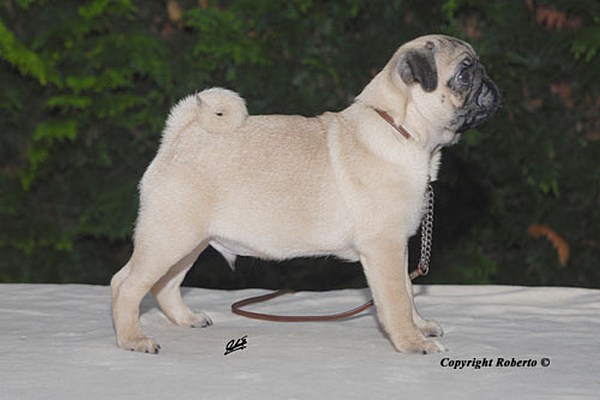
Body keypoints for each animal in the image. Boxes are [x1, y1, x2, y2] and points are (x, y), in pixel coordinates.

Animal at [110, 34, 500, 354]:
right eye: (465, 73)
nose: (492, 84)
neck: (402, 130)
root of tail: (181, 134)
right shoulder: (385, 247)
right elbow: (395, 299)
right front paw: (411, 342)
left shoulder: (396, 247)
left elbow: (407, 290)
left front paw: (419, 327)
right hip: (170, 236)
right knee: (126, 284)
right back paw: (132, 339)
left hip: (189, 240)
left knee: (164, 284)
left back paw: (185, 318)